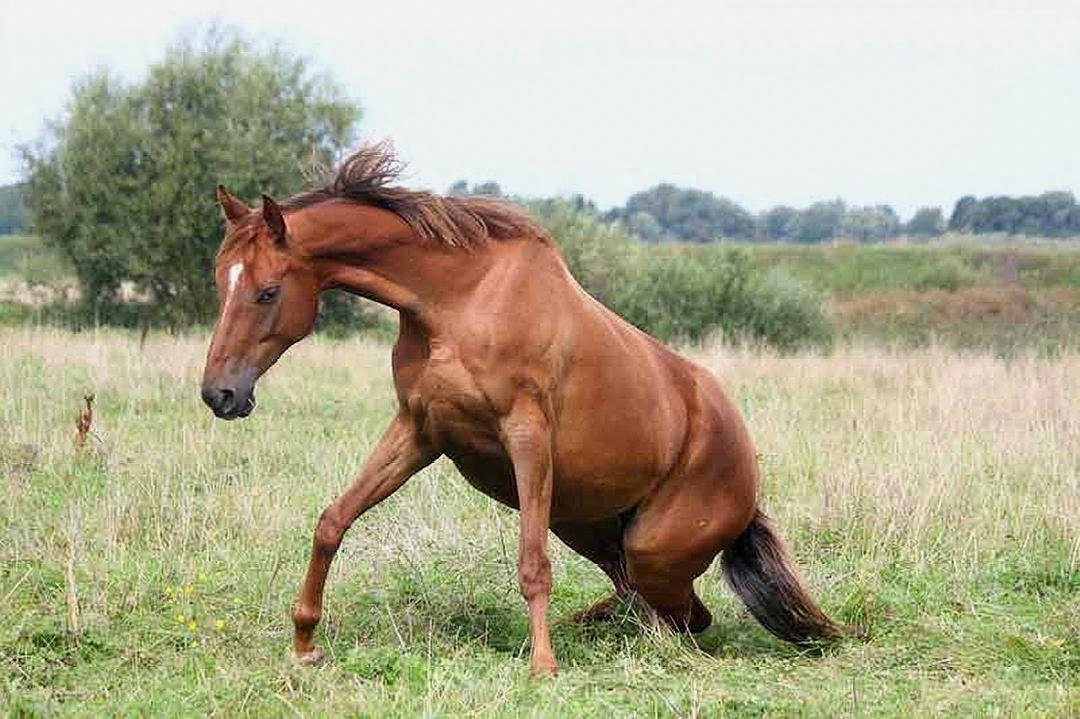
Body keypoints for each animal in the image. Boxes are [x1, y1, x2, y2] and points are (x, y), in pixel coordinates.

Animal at [203, 142, 842, 673]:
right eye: (220, 283)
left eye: (266, 291)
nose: (220, 394)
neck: (459, 301)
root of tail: (747, 480)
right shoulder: (418, 430)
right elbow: (333, 521)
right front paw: (304, 642)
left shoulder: (526, 435)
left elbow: (533, 565)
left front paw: (543, 667)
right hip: (588, 528)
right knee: (652, 604)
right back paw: (591, 626)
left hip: (650, 548)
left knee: (683, 618)